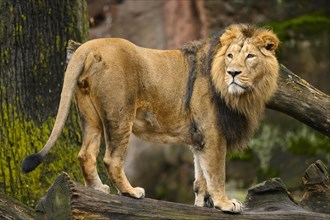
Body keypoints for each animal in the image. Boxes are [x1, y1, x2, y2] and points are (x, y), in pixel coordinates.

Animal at [21, 24, 278, 213]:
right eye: (230, 56)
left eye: (250, 57)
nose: (233, 73)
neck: (242, 94)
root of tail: (89, 45)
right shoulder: (212, 131)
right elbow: (216, 172)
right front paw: (225, 203)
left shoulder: (199, 135)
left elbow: (200, 176)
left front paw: (203, 205)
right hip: (120, 113)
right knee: (111, 159)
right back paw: (130, 192)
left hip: (89, 115)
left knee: (86, 154)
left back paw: (97, 189)